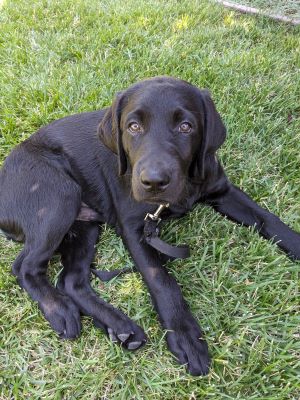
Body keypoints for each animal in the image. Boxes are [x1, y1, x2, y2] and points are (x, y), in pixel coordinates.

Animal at [0, 76, 300, 376]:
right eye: (133, 126)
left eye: (185, 126)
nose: (154, 181)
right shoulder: (135, 229)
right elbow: (161, 279)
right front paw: (185, 335)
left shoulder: (221, 190)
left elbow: (267, 218)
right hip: (59, 199)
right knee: (25, 267)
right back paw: (60, 311)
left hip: (85, 224)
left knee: (71, 280)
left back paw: (121, 327)